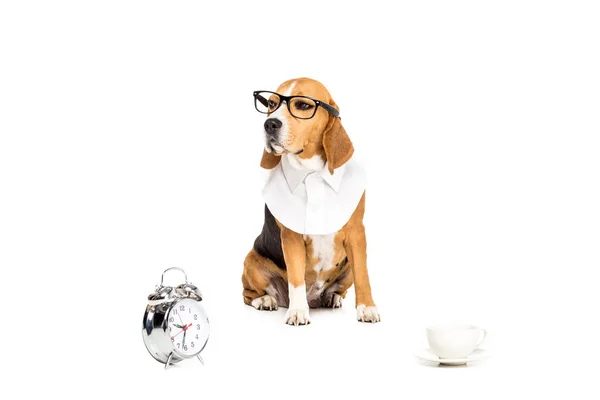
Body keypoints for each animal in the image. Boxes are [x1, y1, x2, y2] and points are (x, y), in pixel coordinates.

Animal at [240, 78, 378, 324]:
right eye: (271, 104)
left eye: (303, 106)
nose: (270, 124)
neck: (311, 171)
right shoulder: (291, 237)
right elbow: (296, 276)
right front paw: (297, 311)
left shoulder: (356, 232)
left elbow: (363, 274)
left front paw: (367, 307)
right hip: (251, 260)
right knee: (248, 294)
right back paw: (265, 300)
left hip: (347, 268)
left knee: (340, 288)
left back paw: (331, 297)